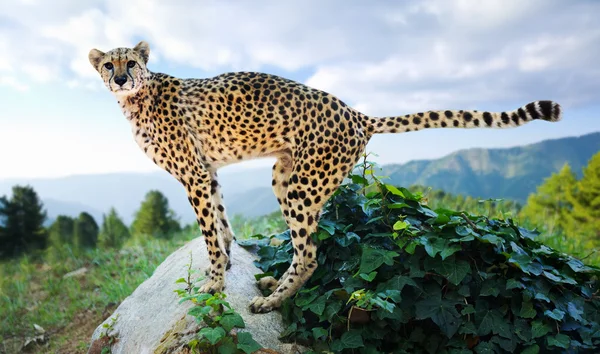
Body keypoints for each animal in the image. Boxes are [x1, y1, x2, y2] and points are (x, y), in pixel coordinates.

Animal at [89, 40, 564, 312]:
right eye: (109, 65)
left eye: (130, 62)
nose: (121, 77)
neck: (137, 99)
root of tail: (356, 112)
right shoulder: (208, 174)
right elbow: (222, 225)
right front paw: (226, 262)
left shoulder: (194, 177)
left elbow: (209, 234)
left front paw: (214, 284)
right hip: (288, 177)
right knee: (306, 248)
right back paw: (272, 284)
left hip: (302, 186)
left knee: (310, 255)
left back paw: (272, 301)